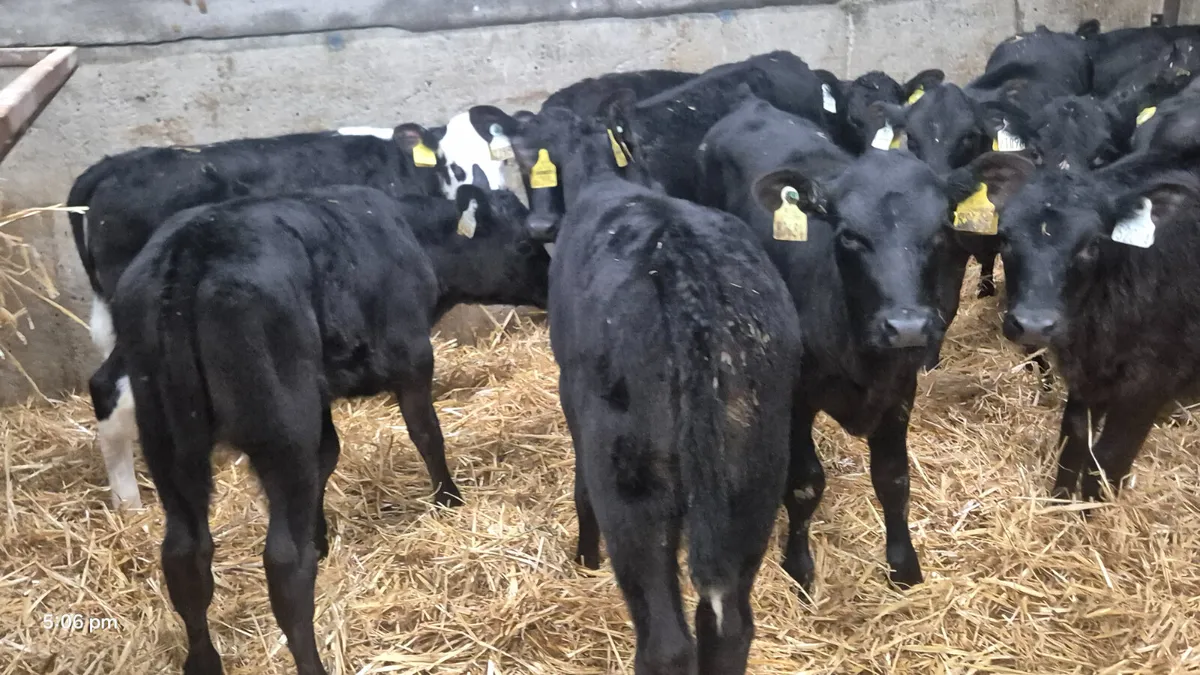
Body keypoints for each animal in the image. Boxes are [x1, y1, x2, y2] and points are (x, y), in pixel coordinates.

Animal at [110, 176, 548, 675]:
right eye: (524, 243)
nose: (552, 284)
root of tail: (191, 246)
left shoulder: (318, 399)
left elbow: (330, 453)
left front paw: (319, 534)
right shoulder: (412, 358)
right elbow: (426, 435)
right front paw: (449, 500)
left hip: (168, 441)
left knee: (185, 554)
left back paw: (204, 661)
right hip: (280, 430)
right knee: (284, 564)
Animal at [503, 101, 802, 673]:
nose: (538, 224)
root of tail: (684, 268)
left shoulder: (572, 399)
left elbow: (580, 489)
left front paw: (585, 558)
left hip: (632, 480)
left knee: (665, 643)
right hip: (753, 475)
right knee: (729, 625)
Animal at [696, 93, 983, 590]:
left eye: (940, 233)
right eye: (850, 236)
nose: (907, 326)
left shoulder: (898, 394)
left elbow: (893, 480)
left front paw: (904, 568)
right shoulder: (795, 399)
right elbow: (805, 483)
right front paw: (799, 568)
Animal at [977, 145, 1200, 504]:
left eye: (1093, 244)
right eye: (1005, 237)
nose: (1033, 325)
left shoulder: (1150, 383)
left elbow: (1109, 457)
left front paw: (1090, 510)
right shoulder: (1087, 378)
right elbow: (1075, 438)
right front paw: (1060, 503)